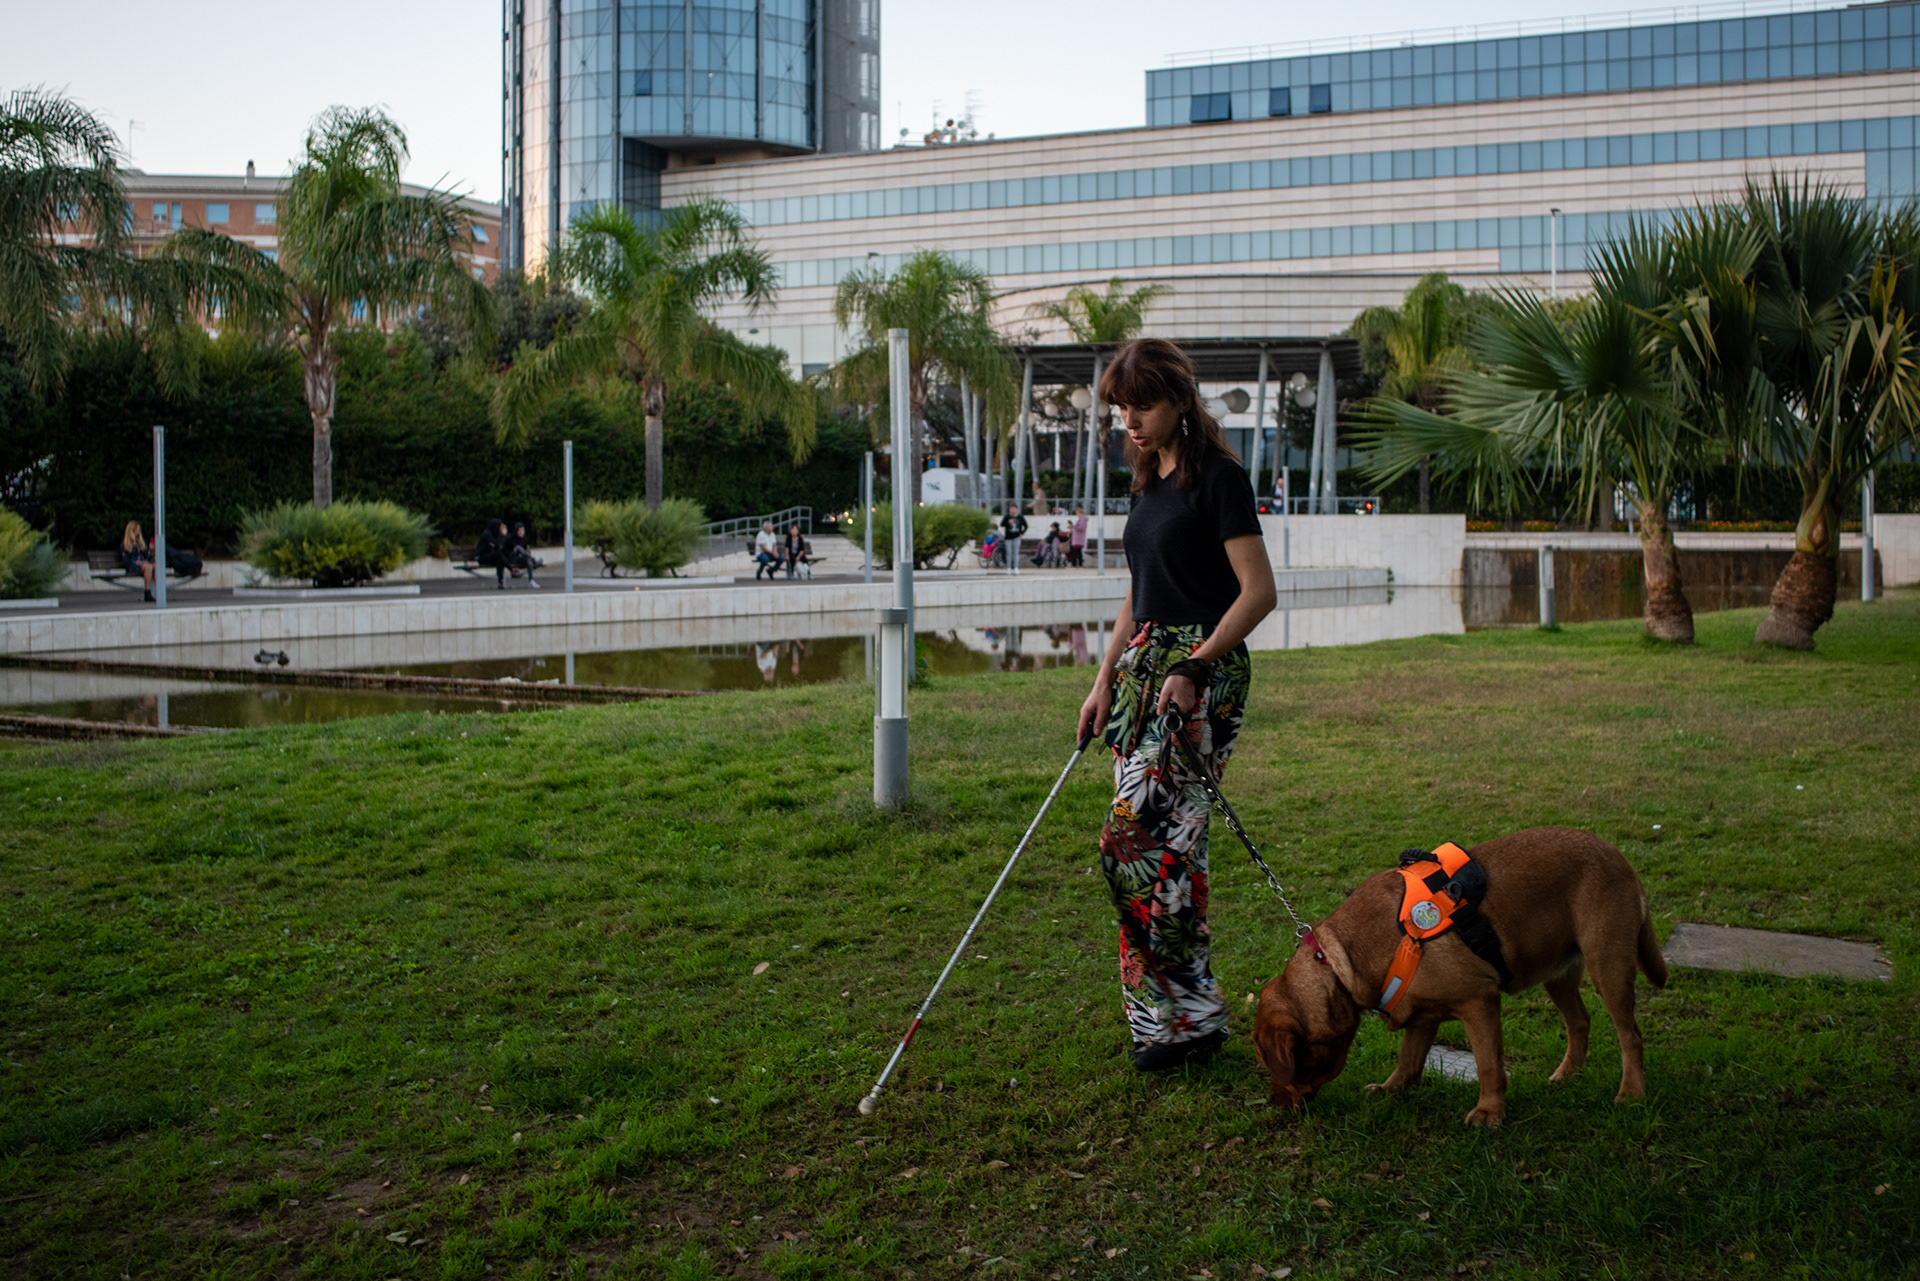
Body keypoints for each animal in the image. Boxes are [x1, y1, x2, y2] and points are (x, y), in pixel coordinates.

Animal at [1250, 826, 1666, 1126]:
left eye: (1273, 1063)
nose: (1271, 1103)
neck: (1340, 965)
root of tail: (1616, 853)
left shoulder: (1479, 1002)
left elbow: (1488, 1065)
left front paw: (1490, 1112)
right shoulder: (1421, 1017)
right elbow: (1408, 1060)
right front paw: (1391, 1089)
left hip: (1608, 964)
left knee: (1631, 1036)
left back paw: (1631, 1093)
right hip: (1558, 974)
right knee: (1580, 1022)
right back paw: (1567, 1075)